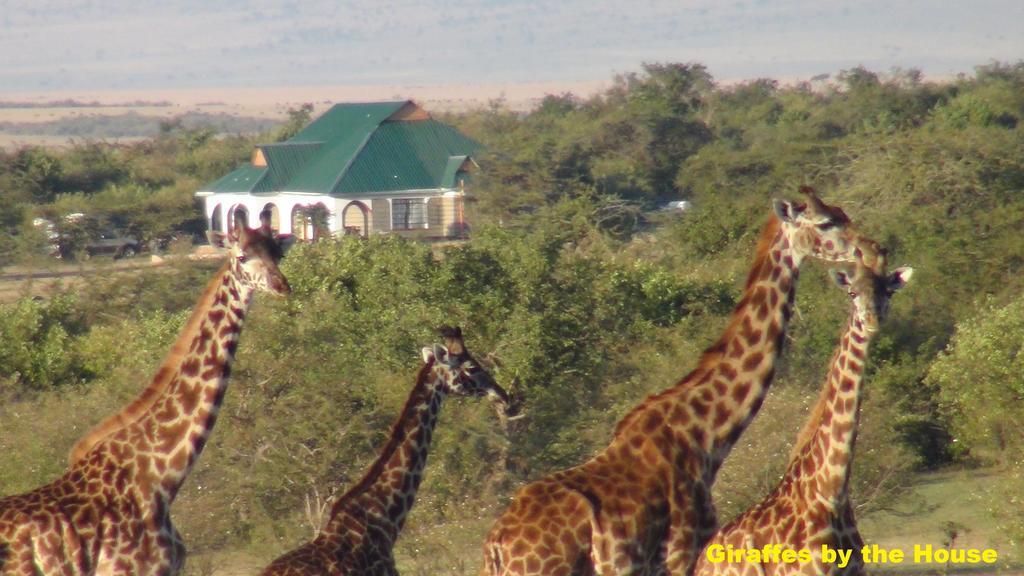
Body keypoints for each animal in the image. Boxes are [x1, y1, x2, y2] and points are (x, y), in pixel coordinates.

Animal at [483, 188, 884, 573]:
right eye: (827, 222)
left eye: (842, 212)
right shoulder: (683, 553)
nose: (874, 248)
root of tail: (497, 546)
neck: (706, 434)